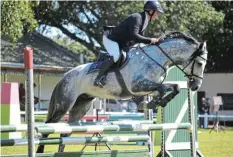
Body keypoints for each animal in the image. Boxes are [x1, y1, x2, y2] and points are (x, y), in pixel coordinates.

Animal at [36, 31, 208, 153]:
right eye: (200, 63)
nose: (195, 86)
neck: (157, 58)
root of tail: (65, 76)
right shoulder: (138, 86)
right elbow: (163, 88)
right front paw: (156, 102)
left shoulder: (148, 87)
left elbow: (174, 87)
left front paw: (156, 102)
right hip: (64, 104)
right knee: (47, 128)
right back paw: (40, 149)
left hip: (81, 107)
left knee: (65, 134)